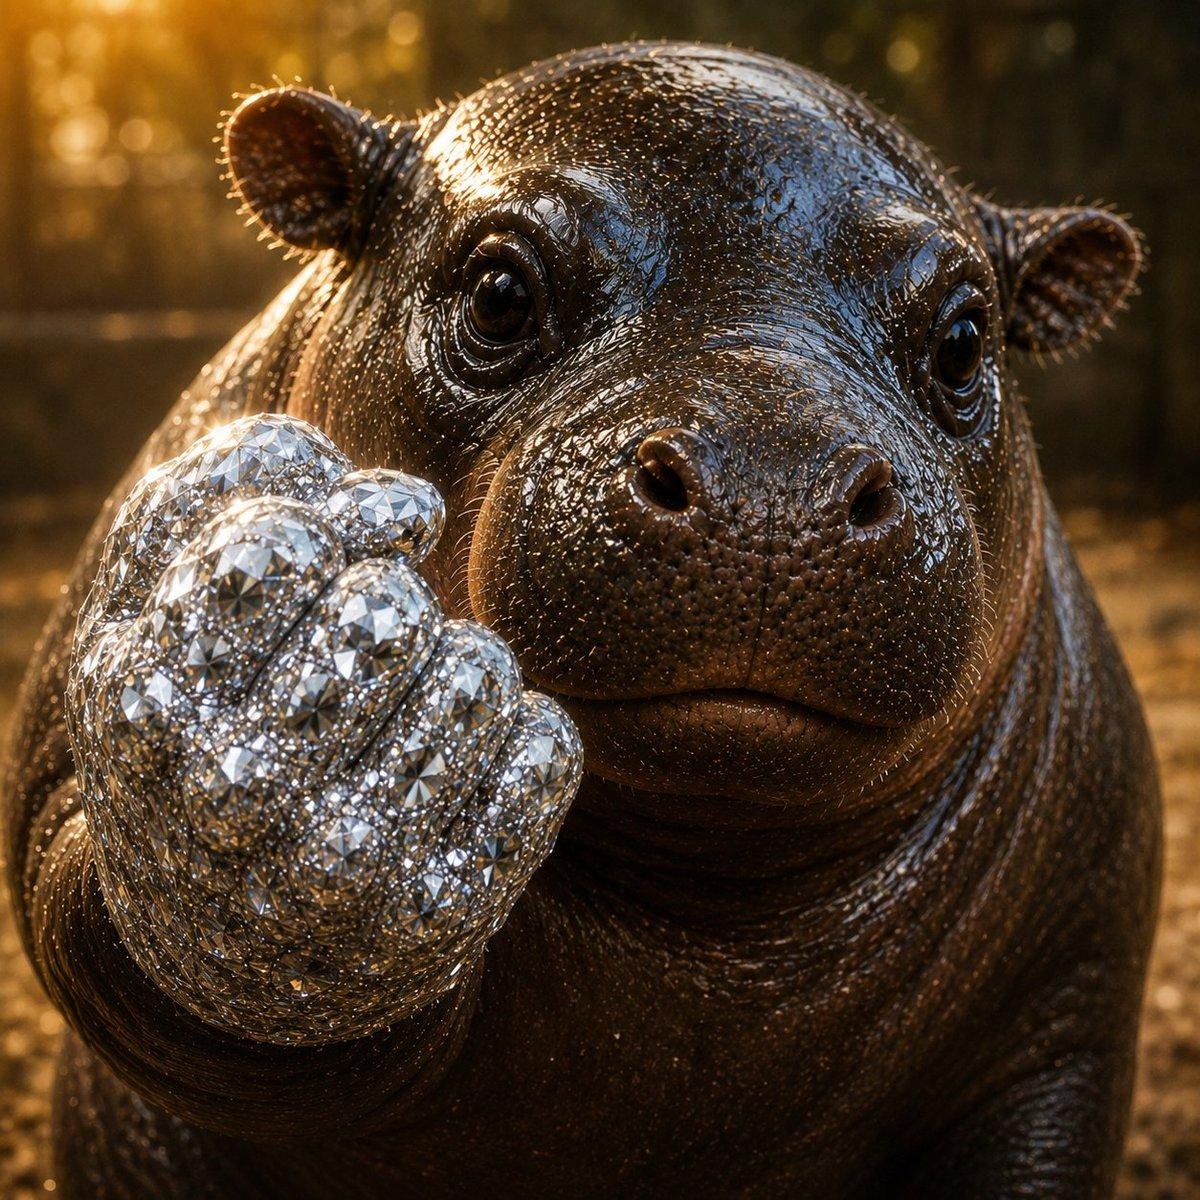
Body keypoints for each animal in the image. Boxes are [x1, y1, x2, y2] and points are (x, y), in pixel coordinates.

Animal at [2, 41, 1159, 1199]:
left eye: (966, 338)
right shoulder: (59, 796)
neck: (711, 922)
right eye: (500, 292)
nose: (769, 480)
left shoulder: (1066, 1018)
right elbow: (98, 902)